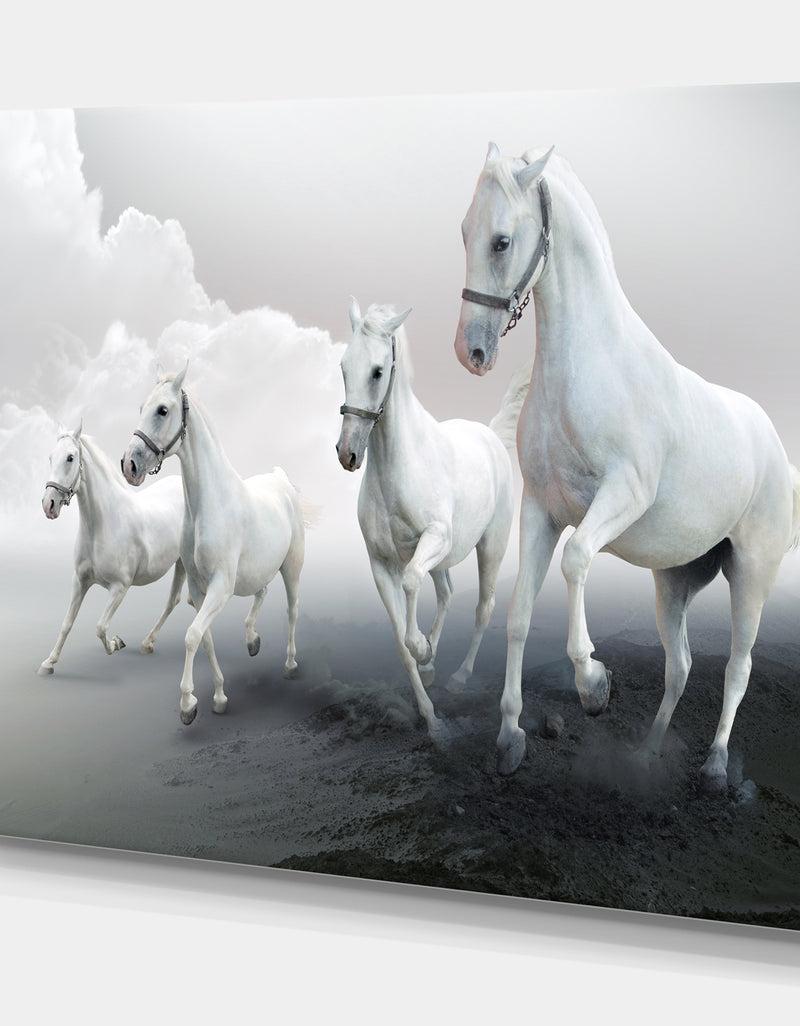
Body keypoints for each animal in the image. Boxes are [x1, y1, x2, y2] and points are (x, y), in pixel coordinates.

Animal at [38, 423, 186, 675]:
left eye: (70, 457)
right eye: (50, 457)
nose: (49, 505)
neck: (103, 524)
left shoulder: (119, 587)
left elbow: (100, 627)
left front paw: (117, 643)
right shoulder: (80, 581)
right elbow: (67, 623)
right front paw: (48, 662)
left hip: (185, 562)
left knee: (173, 601)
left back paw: (147, 643)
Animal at [121, 365, 308, 725]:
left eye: (162, 410)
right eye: (140, 408)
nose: (129, 465)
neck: (209, 504)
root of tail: (281, 480)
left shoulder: (221, 586)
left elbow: (192, 636)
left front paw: (187, 704)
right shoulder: (198, 588)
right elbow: (204, 639)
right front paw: (219, 696)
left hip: (291, 567)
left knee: (292, 610)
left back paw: (291, 664)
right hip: (259, 569)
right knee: (262, 592)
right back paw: (252, 640)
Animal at [336, 301, 515, 736]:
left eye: (377, 371)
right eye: (344, 367)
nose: (347, 453)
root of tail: (490, 436)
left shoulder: (435, 538)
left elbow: (411, 581)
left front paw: (422, 647)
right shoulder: (380, 563)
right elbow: (401, 641)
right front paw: (429, 713)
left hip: (490, 547)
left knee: (483, 606)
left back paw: (458, 677)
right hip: (444, 559)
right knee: (447, 592)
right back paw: (433, 665)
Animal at [454, 143, 800, 790]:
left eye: (502, 241)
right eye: (464, 231)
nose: (472, 352)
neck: (587, 366)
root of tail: (775, 446)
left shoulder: (620, 497)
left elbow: (577, 560)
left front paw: (593, 684)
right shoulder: (540, 510)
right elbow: (518, 614)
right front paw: (510, 737)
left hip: (751, 575)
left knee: (736, 667)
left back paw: (715, 765)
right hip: (676, 579)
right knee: (680, 666)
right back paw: (647, 753)